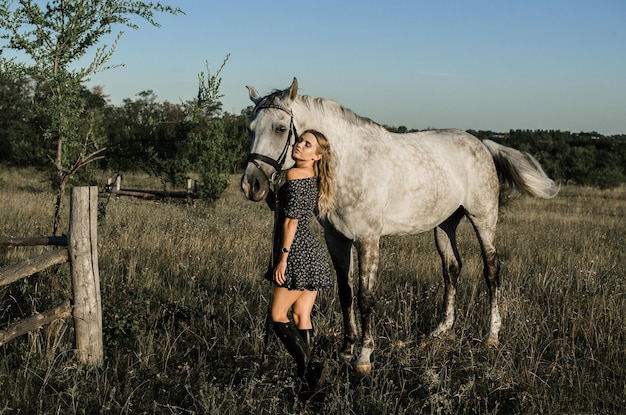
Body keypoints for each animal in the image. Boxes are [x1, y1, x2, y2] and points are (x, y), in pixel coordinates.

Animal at [241, 78, 560, 374]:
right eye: (251, 129)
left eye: (280, 128)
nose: (251, 185)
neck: (350, 163)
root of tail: (482, 144)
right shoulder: (337, 239)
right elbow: (346, 293)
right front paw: (346, 350)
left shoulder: (368, 239)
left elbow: (365, 297)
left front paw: (364, 357)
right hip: (444, 225)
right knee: (452, 268)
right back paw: (440, 330)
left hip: (483, 219)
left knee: (492, 271)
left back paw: (492, 335)